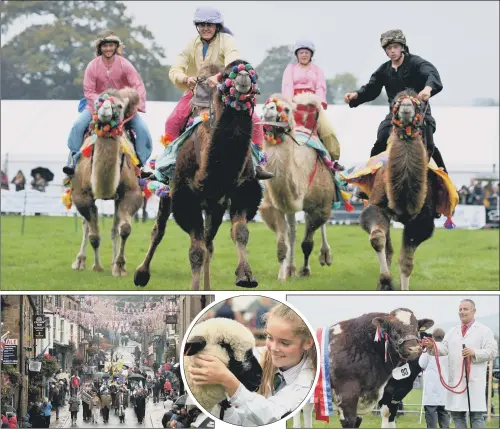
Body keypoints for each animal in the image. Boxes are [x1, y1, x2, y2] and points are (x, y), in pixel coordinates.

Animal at [69, 86, 143, 278]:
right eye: (97, 102)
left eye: (119, 105)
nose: (105, 112)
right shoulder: (81, 195)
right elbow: (93, 235)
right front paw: (97, 266)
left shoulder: (131, 193)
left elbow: (124, 229)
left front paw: (120, 266)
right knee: (86, 226)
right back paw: (80, 261)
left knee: (114, 227)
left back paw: (112, 262)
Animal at [135, 58, 264, 290]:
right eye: (226, 75)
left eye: (254, 74)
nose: (242, 75)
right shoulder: (185, 197)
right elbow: (195, 251)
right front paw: (193, 290)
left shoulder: (242, 192)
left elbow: (240, 232)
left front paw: (245, 276)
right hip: (167, 192)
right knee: (159, 231)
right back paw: (141, 273)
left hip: (214, 207)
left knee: (209, 242)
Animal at [258, 93, 336, 280]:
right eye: (266, 104)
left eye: (286, 110)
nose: (268, 109)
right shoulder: (275, 206)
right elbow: (282, 243)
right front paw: (282, 276)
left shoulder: (320, 208)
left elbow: (307, 243)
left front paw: (305, 270)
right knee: (292, 231)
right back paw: (291, 268)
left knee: (319, 226)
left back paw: (325, 256)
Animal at [346, 90, 458, 290]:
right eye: (394, 104)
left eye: (420, 104)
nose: (406, 105)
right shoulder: (376, 207)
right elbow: (377, 239)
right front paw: (385, 280)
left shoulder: (423, 221)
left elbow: (406, 262)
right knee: (386, 245)